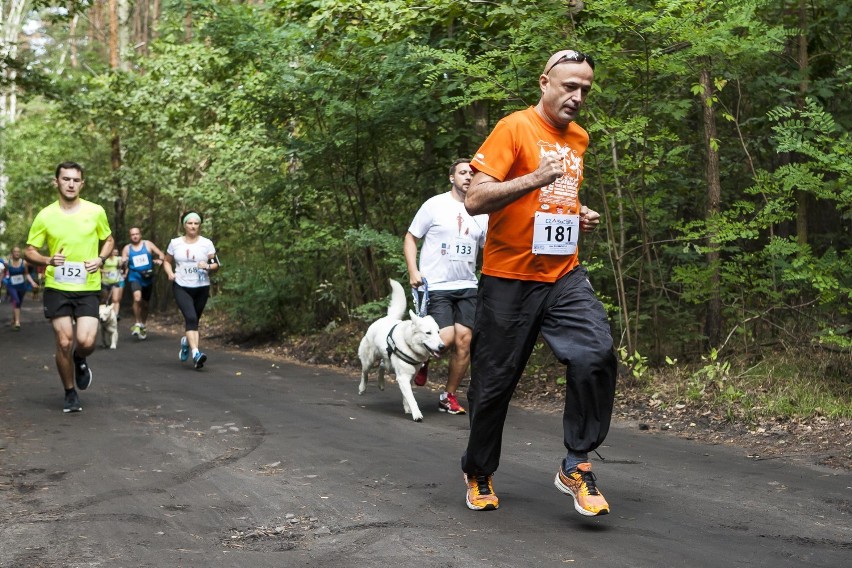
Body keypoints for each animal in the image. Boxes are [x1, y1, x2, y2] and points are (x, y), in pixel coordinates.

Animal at [358, 278, 446, 420]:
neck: (409, 343)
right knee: (364, 373)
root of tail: (388, 318)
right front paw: (416, 414)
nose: (442, 347)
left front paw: (407, 408)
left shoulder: (409, 377)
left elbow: (406, 396)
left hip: (389, 363)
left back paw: (381, 384)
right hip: (369, 360)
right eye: (428, 333)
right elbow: (411, 398)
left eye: (438, 332)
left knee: (381, 366)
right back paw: (362, 388)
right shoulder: (403, 377)